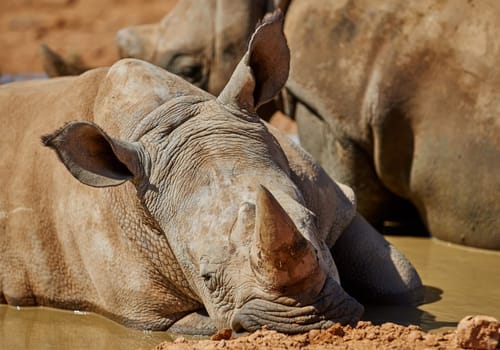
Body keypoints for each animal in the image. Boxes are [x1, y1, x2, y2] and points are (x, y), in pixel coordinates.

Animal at [0, 13, 422, 334]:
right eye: (204, 277)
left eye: (314, 226)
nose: (304, 322)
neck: (163, 117)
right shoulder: (146, 312)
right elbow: (200, 326)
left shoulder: (333, 200)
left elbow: (400, 279)